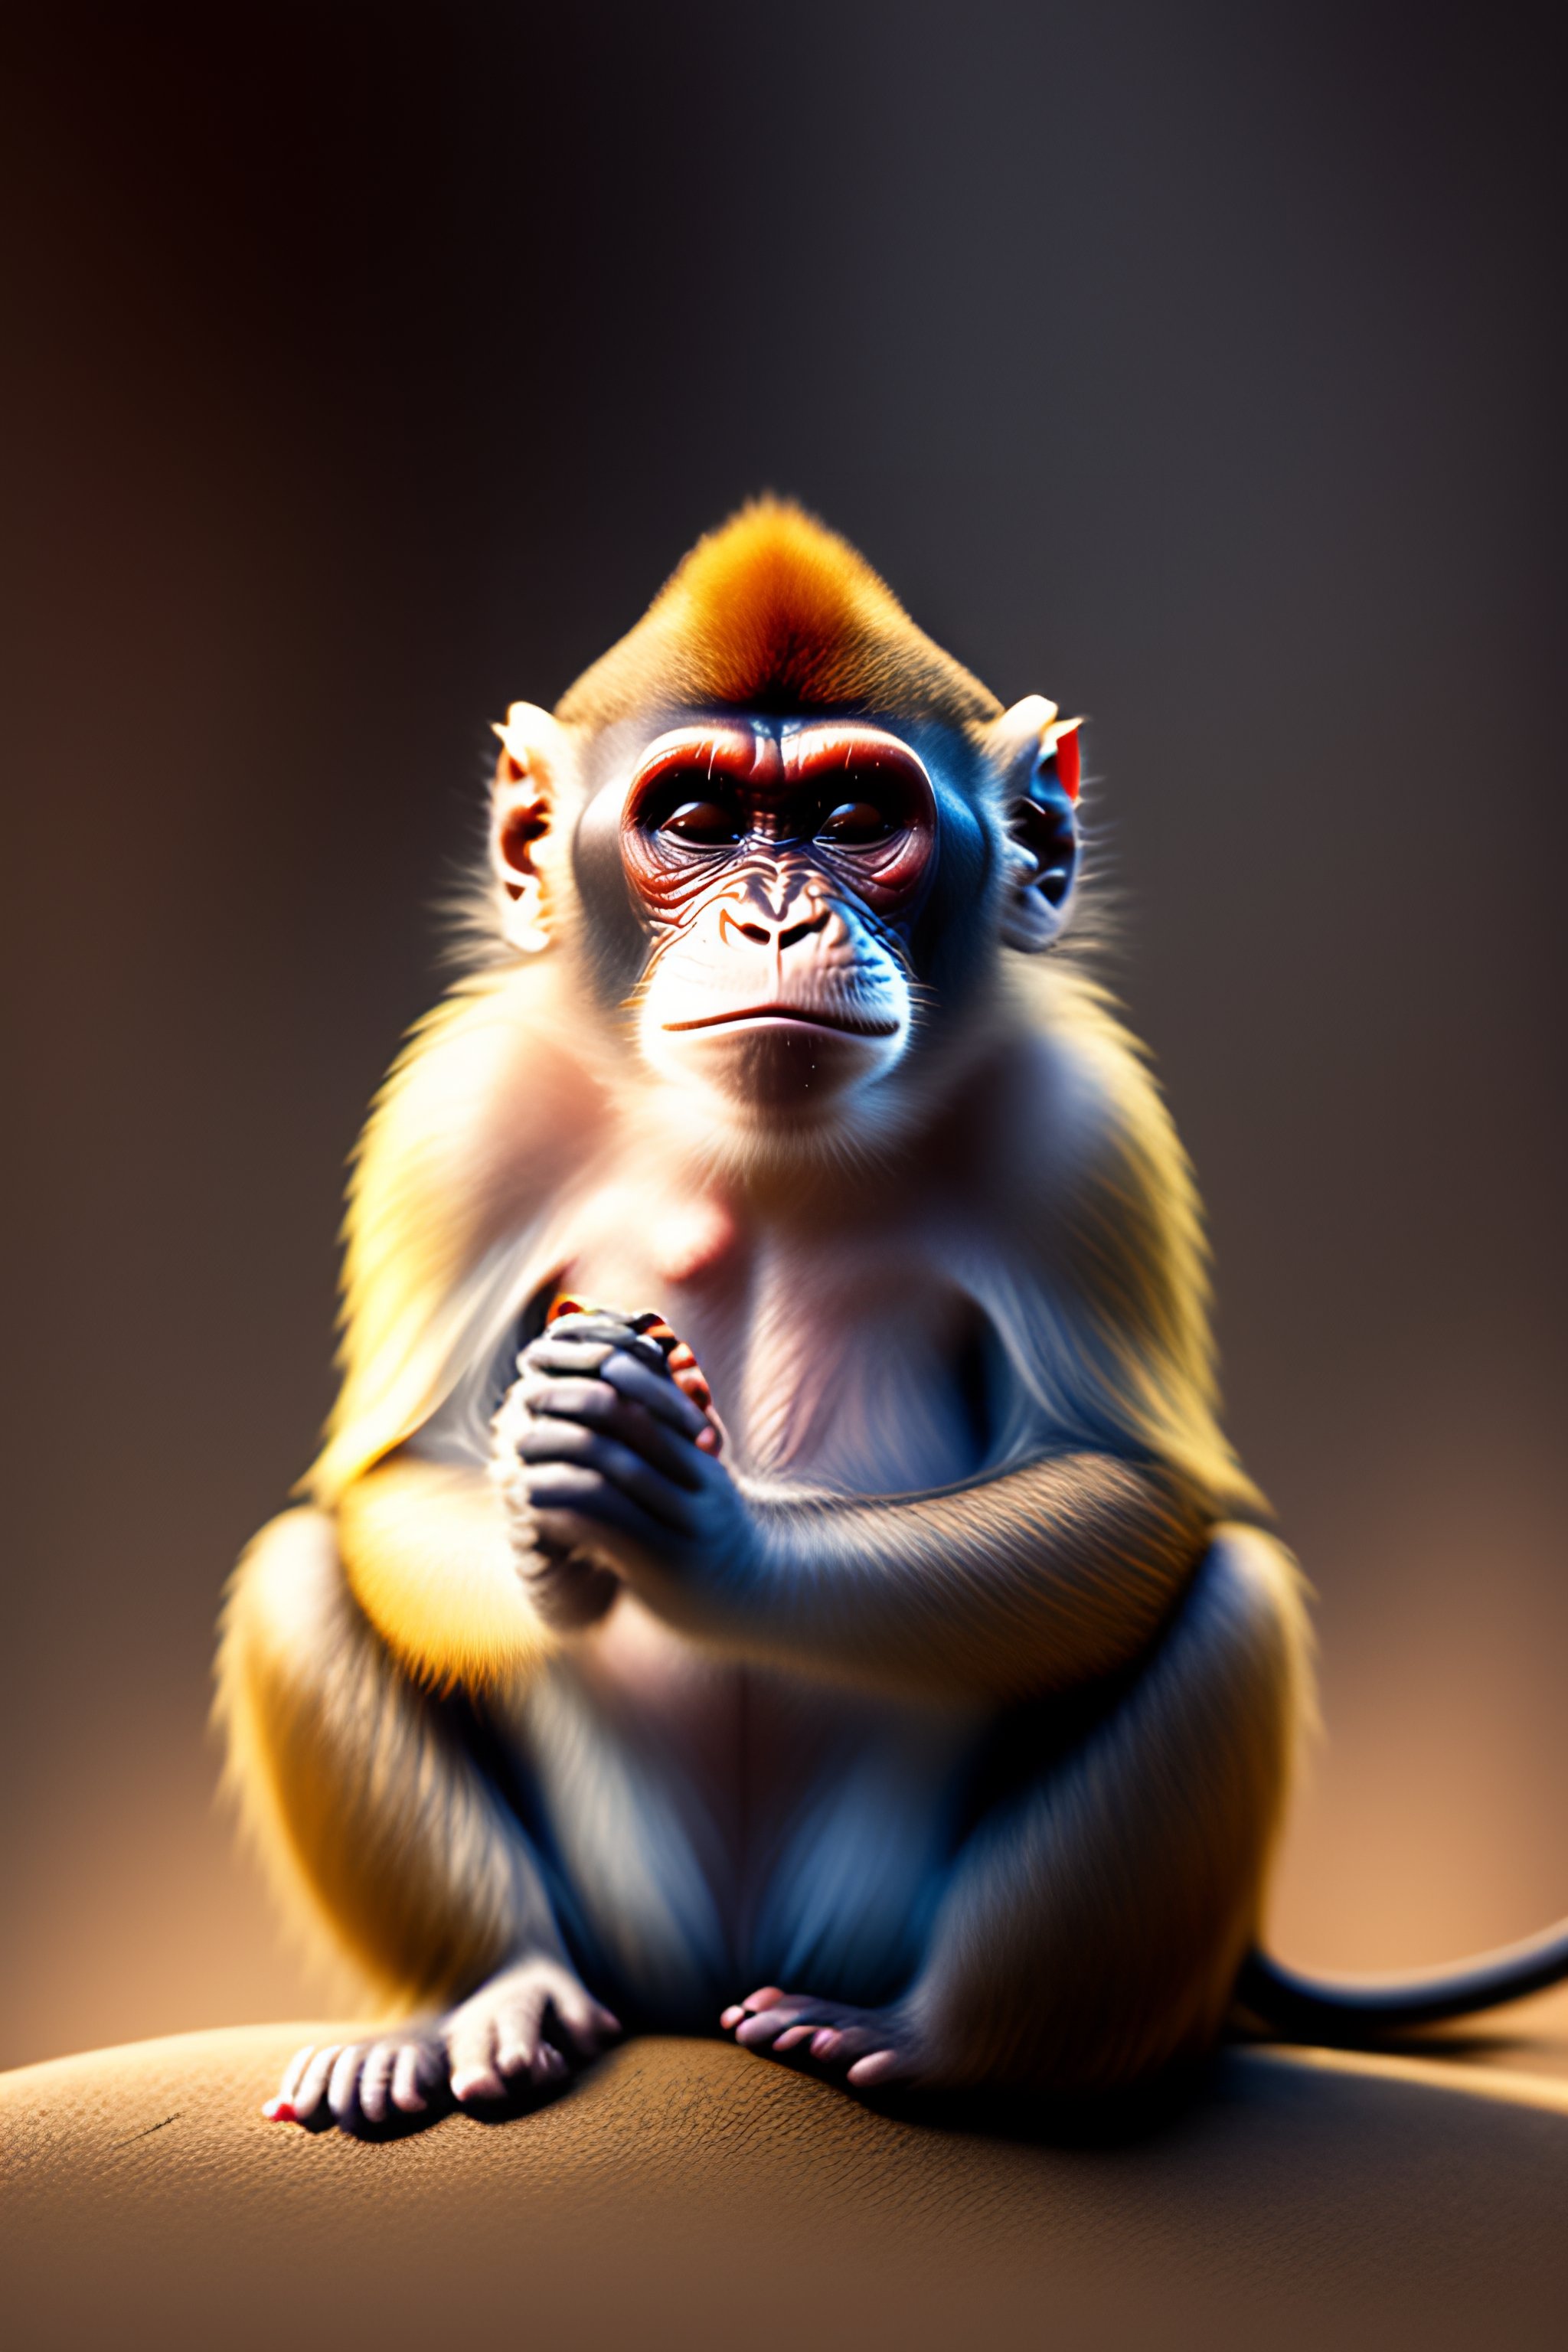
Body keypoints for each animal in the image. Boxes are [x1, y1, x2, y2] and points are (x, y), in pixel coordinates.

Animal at [215, 499, 1568, 2130]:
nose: (775, 915)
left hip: (860, 1912)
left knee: (1230, 1601)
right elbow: (387, 1477)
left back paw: (955, 2045)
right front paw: (553, 1508)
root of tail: (702, 1984)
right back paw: (487, 1997)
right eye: (696, 819)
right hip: (630, 1920)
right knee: (295, 1573)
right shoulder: (463, 1109)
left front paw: (697, 1530)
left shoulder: (1077, 1124)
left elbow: (1127, 1492)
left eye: (856, 817)